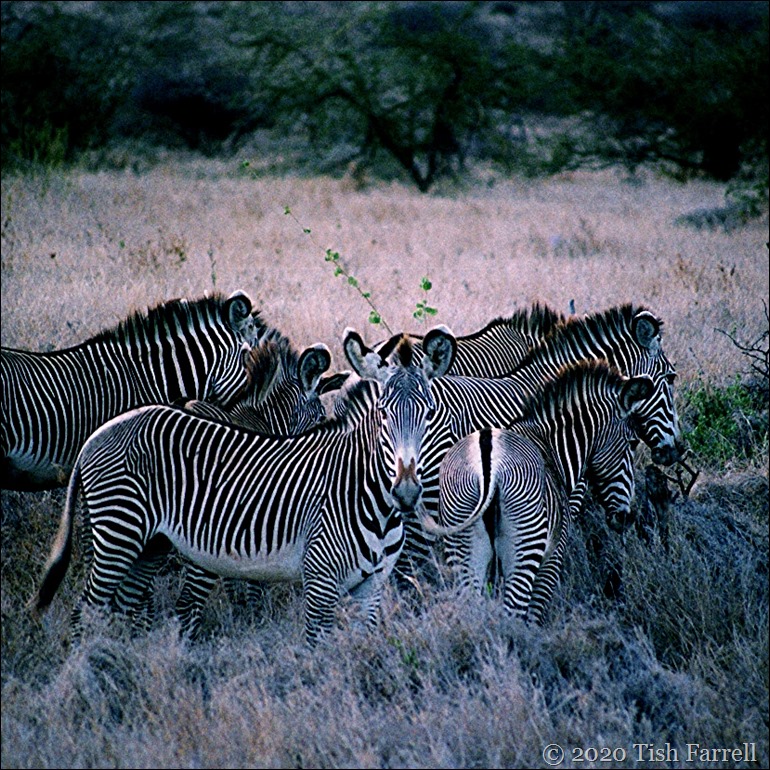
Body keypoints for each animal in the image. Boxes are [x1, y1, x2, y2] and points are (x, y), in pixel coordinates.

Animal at [30, 326, 457, 645]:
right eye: (383, 415)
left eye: (430, 413)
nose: (407, 492)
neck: (367, 493)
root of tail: (100, 433)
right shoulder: (319, 580)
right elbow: (317, 650)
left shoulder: (372, 588)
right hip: (119, 533)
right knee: (87, 611)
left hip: (150, 545)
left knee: (121, 607)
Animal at [423, 360, 654, 622]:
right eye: (633, 443)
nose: (625, 518)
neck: (553, 447)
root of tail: (489, 461)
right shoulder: (552, 559)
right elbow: (534, 617)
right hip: (525, 548)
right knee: (513, 612)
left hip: (462, 541)